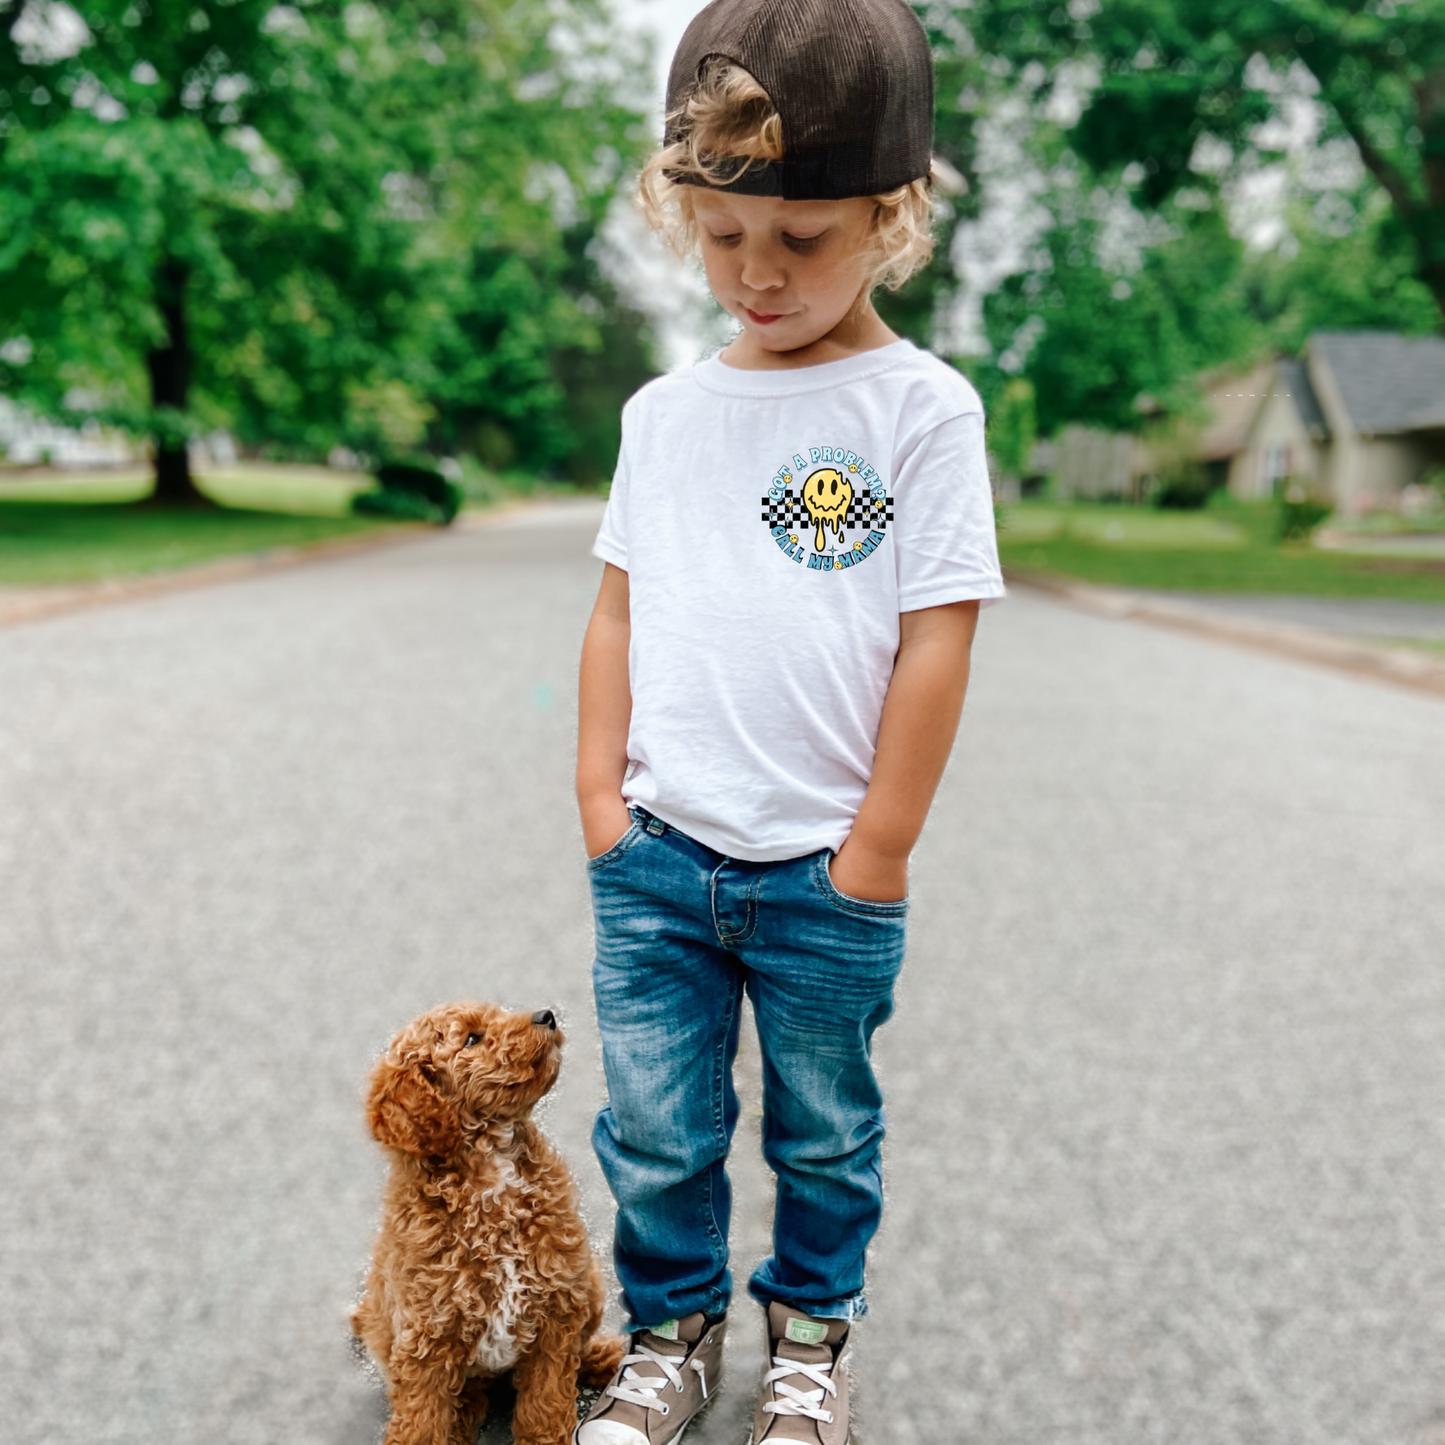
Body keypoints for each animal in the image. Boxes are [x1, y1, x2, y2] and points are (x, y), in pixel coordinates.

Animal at [355, 999, 627, 1445]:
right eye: (472, 1038)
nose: (546, 1016)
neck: (491, 1176)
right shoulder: (426, 1340)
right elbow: (421, 1421)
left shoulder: (556, 1312)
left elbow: (545, 1406)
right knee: (466, 1392)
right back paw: (463, 1418)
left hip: (588, 1285)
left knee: (576, 1351)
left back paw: (603, 1358)